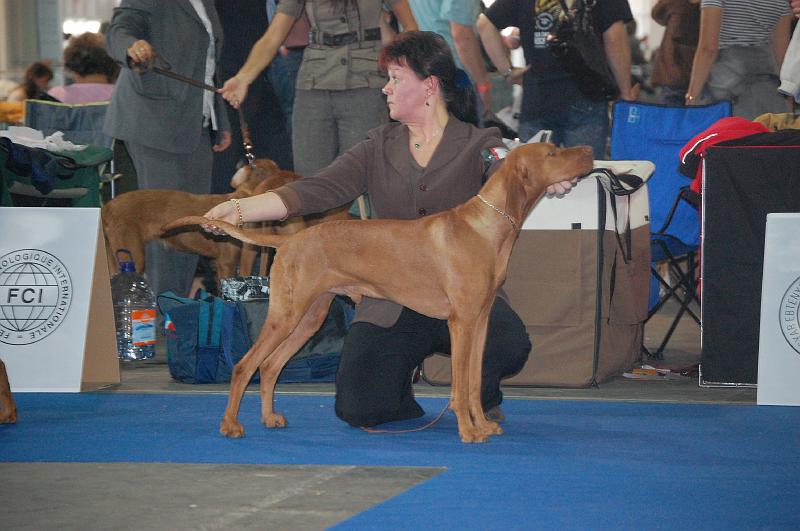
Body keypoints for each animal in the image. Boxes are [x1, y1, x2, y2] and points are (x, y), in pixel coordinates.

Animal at [164, 142, 592, 444]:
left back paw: (269, 418)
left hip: (309, 317)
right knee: (244, 366)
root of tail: (290, 239)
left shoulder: (481, 321)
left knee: (269, 367)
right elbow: (459, 385)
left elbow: (472, 382)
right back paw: (230, 425)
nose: (589, 151)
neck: (486, 226)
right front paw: (468, 431)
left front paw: (483, 424)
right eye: (552, 152)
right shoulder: (462, 322)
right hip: (286, 314)